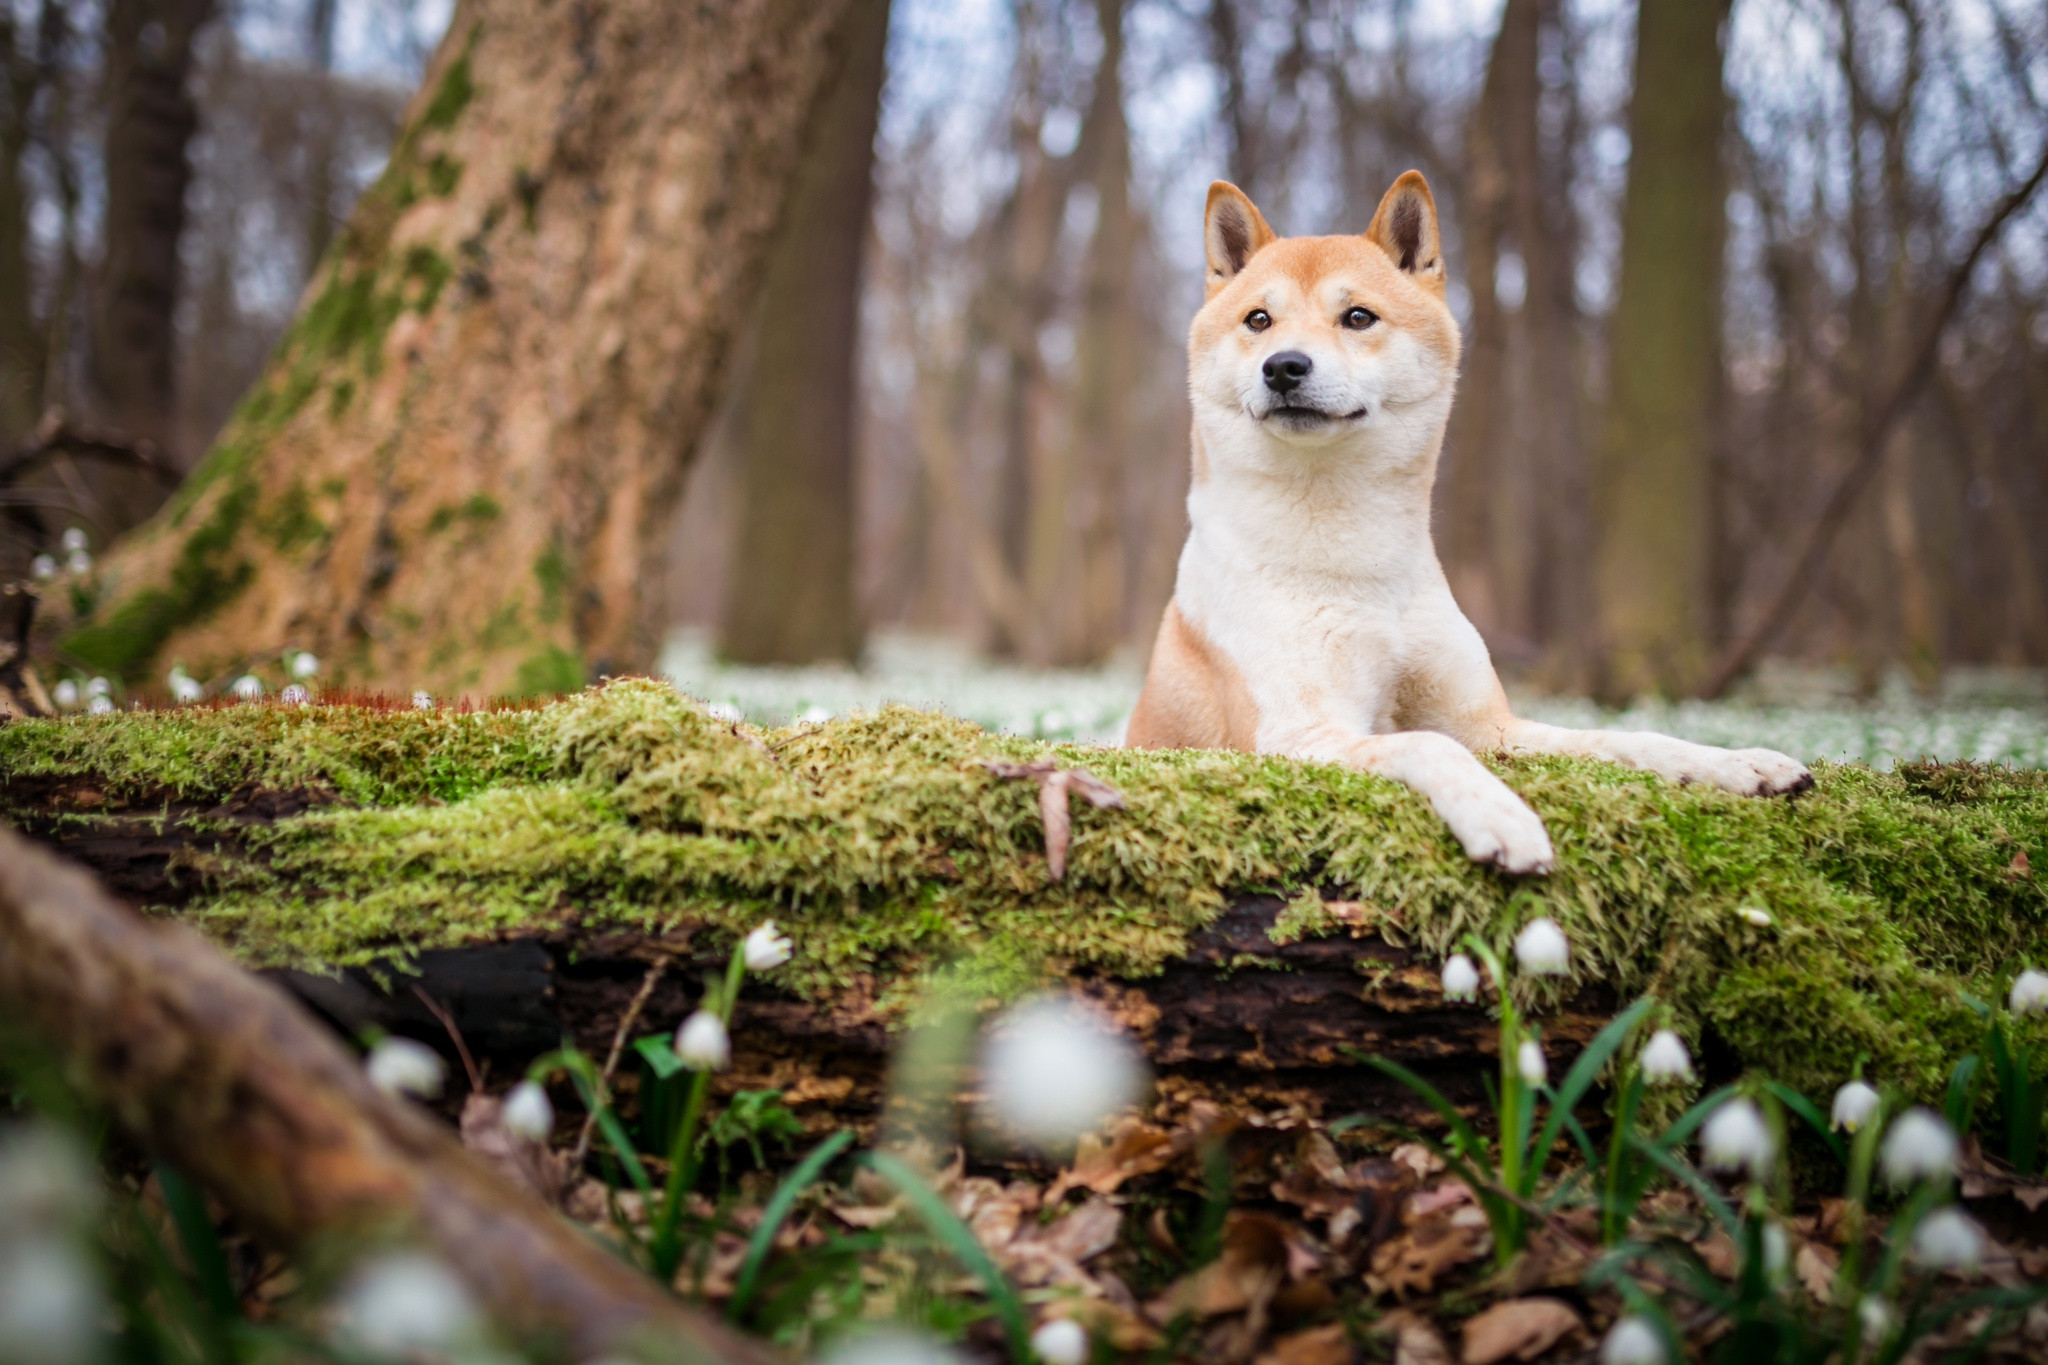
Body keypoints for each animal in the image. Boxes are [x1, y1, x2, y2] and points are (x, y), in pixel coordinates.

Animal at [1130, 173, 1818, 875]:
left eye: (1358, 317)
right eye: (1258, 320)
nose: (1284, 367)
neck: (1351, 556)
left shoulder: (1492, 726)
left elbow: (1623, 737)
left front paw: (1737, 763)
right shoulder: (1298, 735)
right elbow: (1431, 746)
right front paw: (1500, 815)